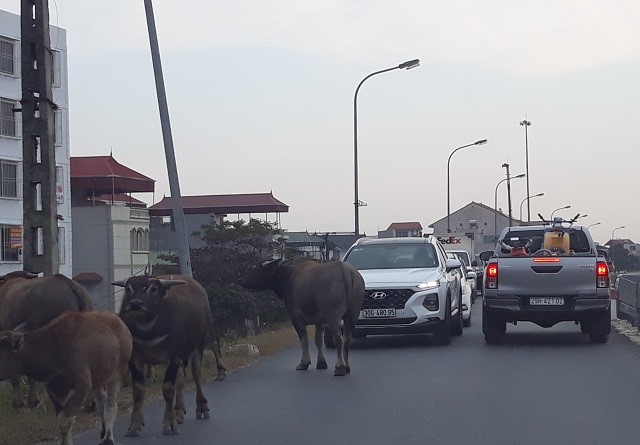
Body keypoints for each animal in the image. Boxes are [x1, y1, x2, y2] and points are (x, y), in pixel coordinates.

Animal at [0, 308, 132, 444]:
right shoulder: (55, 391)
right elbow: (63, 422)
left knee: (111, 405)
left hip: (116, 375)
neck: (54, 349)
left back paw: (108, 438)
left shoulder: (82, 386)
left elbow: (64, 420)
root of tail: (121, 325)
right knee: (102, 402)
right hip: (99, 380)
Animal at [114, 272, 228, 436]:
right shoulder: (134, 360)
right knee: (180, 380)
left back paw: (202, 406)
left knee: (197, 373)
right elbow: (138, 391)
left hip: (198, 344)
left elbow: (168, 389)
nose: (135, 303)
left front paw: (169, 424)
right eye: (129, 289)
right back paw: (179, 412)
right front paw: (134, 425)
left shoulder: (173, 357)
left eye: (153, 289)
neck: (148, 332)